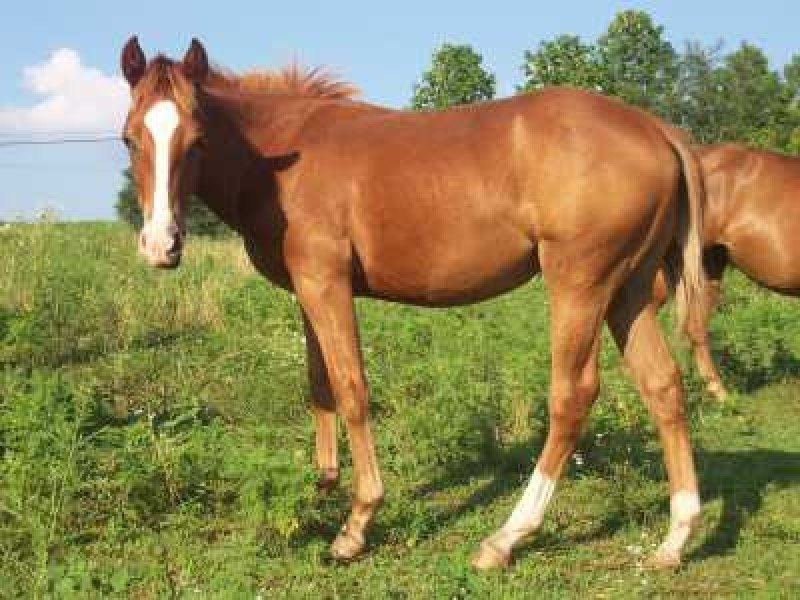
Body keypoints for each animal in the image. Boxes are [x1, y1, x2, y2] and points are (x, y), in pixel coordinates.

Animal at [119, 36, 707, 569]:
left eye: (197, 139)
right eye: (129, 139)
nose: (161, 245)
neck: (279, 159)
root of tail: (657, 130)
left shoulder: (327, 284)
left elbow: (351, 388)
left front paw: (357, 523)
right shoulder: (307, 290)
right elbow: (319, 385)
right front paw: (322, 484)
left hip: (579, 286)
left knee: (572, 396)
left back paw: (506, 538)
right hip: (628, 292)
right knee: (663, 386)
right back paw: (675, 539)